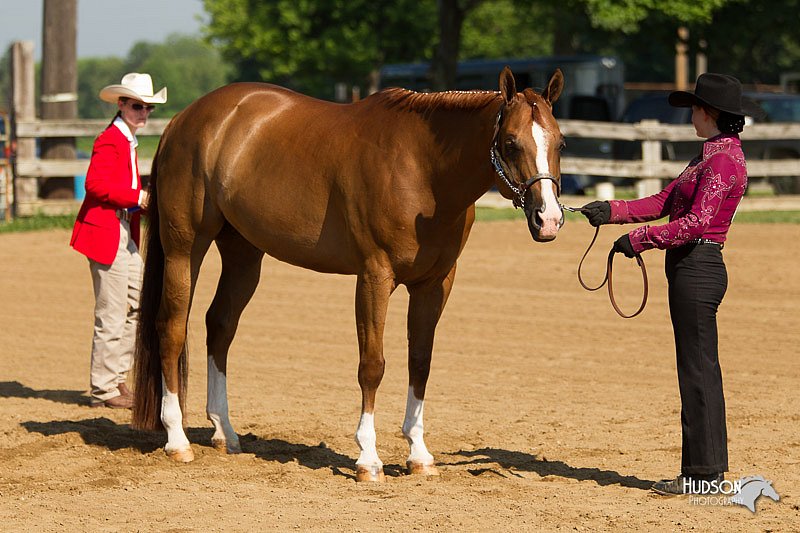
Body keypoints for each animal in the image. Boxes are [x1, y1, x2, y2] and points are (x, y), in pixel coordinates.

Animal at [133, 66, 564, 482]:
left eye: (560, 143)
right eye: (511, 142)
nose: (548, 219)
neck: (421, 169)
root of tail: (185, 119)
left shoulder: (435, 283)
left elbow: (420, 363)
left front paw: (419, 455)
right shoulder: (374, 277)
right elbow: (372, 365)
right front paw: (368, 460)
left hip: (243, 254)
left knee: (219, 325)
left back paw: (225, 432)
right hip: (185, 247)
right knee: (172, 327)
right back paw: (177, 439)